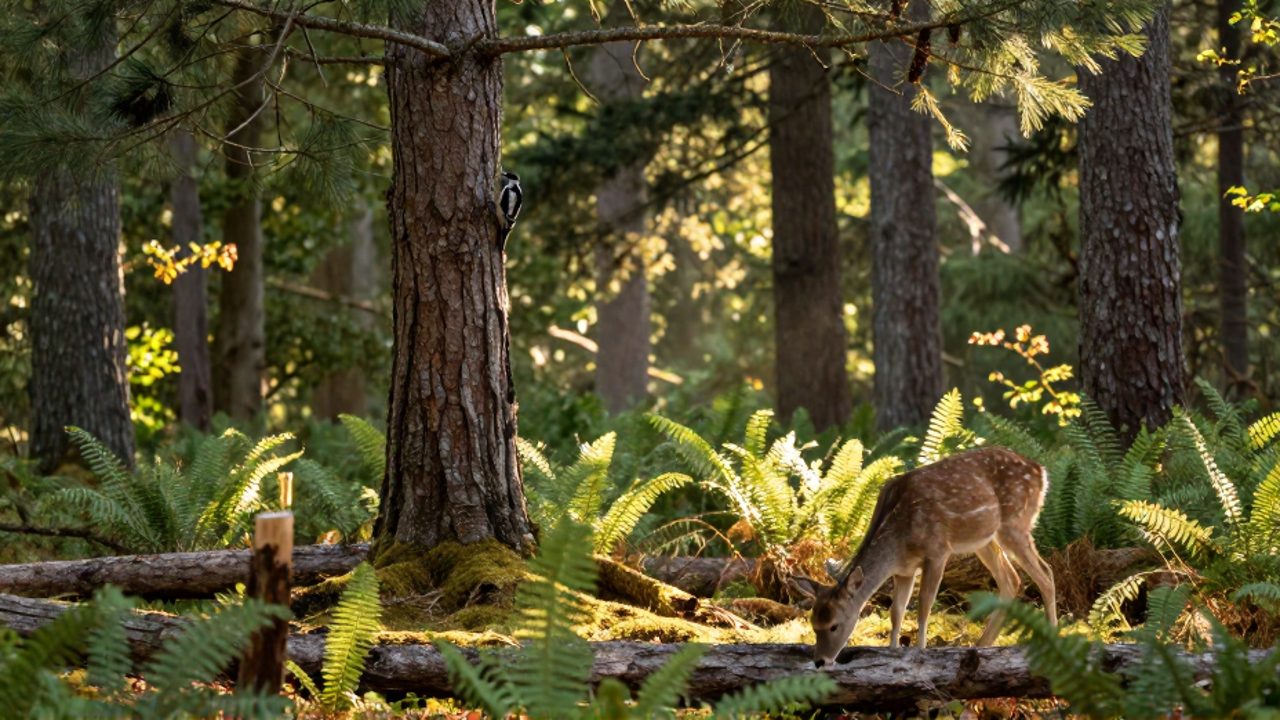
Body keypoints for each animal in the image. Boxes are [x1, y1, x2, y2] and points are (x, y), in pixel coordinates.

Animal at [793, 446, 1057, 667]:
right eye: (813, 624)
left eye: (834, 625)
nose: (820, 661)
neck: (900, 542)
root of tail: (1041, 471)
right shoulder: (904, 570)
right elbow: (896, 611)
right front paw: (891, 651)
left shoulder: (938, 551)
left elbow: (924, 605)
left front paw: (921, 651)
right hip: (984, 538)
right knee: (1011, 579)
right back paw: (981, 645)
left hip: (1015, 523)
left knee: (1045, 573)